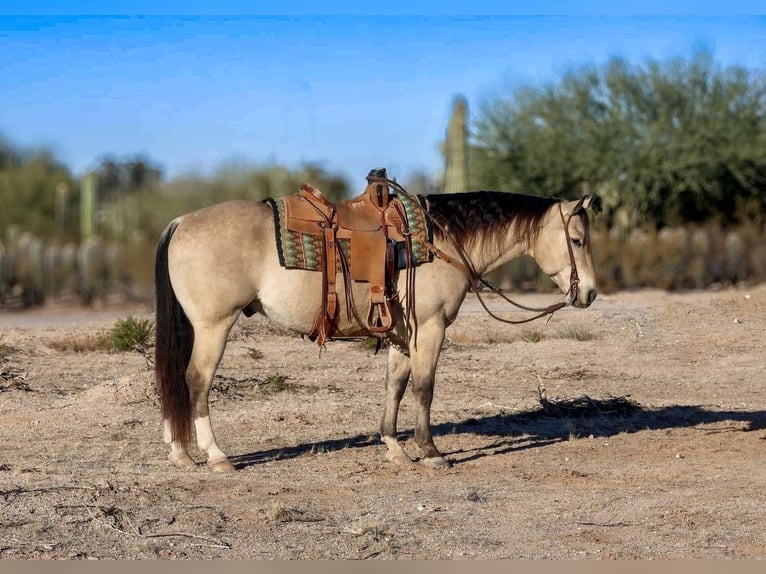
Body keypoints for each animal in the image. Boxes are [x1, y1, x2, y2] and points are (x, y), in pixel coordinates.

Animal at [153, 170, 604, 472]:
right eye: (577, 240)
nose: (590, 293)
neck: (440, 241)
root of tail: (180, 222)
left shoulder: (403, 335)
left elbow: (395, 387)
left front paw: (395, 447)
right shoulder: (431, 328)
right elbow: (424, 389)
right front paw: (431, 452)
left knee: (175, 379)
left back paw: (179, 451)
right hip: (214, 326)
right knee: (196, 380)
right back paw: (216, 456)